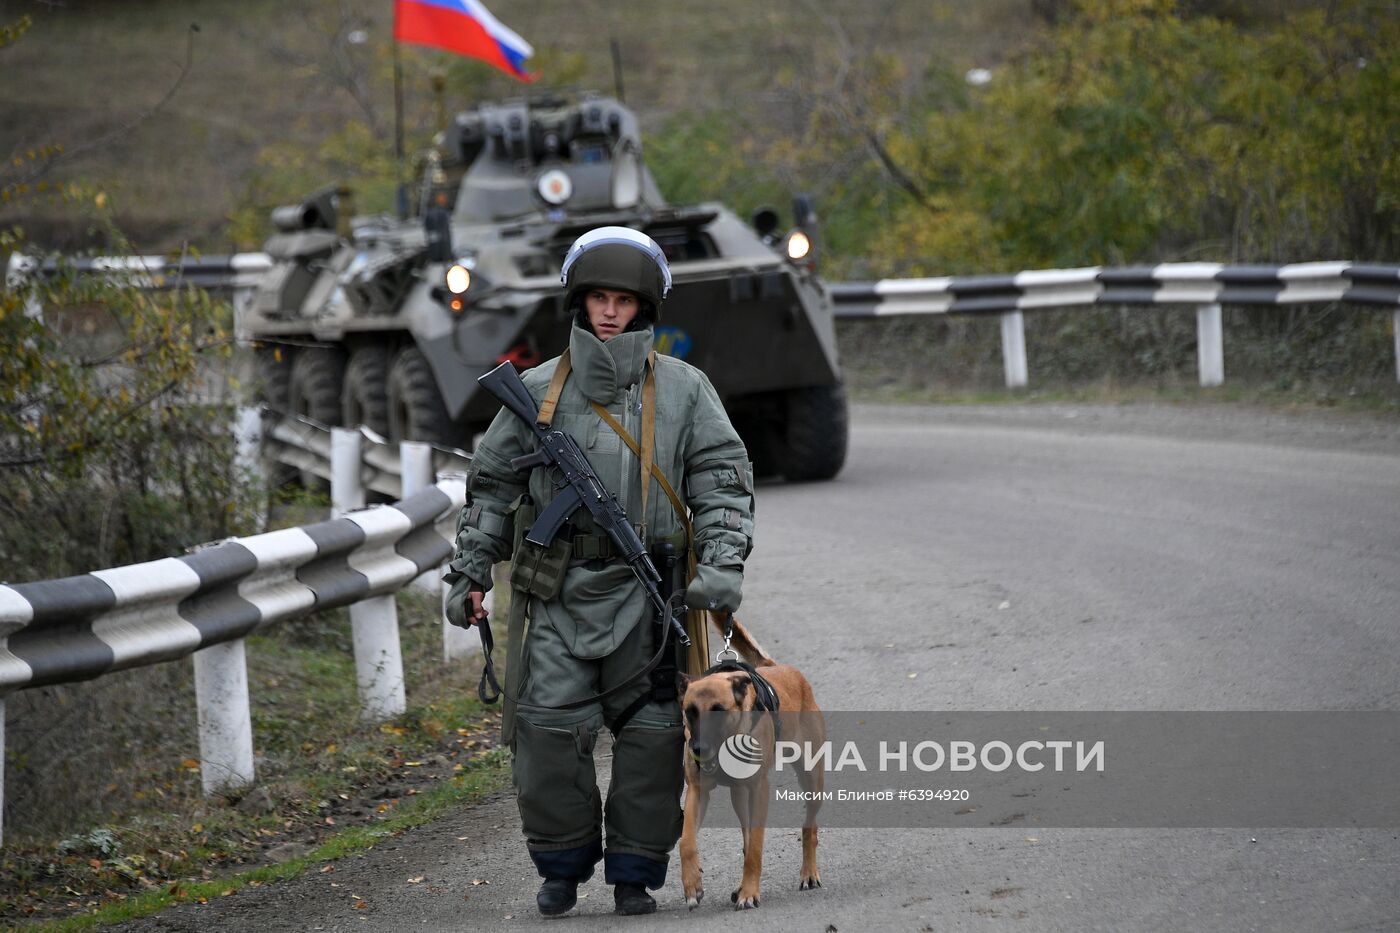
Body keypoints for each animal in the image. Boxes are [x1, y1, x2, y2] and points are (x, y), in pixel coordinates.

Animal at [674, 616, 817, 907]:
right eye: (690, 712)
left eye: (718, 710)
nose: (699, 750)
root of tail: (779, 668)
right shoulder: (698, 792)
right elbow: (686, 841)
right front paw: (692, 884)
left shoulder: (760, 790)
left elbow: (756, 848)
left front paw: (750, 892)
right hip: (739, 797)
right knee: (746, 834)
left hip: (811, 778)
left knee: (809, 827)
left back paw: (809, 873)